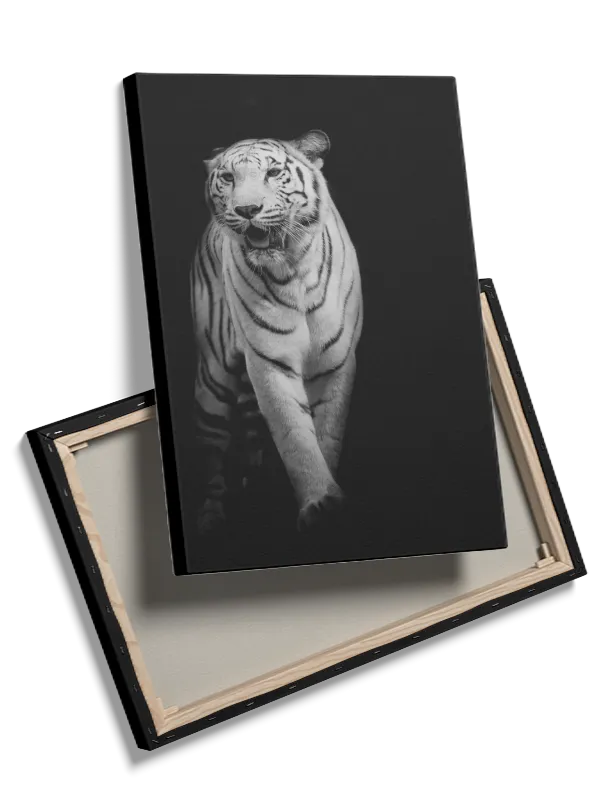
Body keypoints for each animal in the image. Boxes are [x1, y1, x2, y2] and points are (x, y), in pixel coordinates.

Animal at [191, 129, 363, 534]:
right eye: (228, 178)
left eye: (272, 173)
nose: (247, 210)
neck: (293, 269)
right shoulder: (270, 362)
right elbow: (294, 434)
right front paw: (318, 502)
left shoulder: (336, 361)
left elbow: (327, 430)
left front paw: (330, 504)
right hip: (213, 381)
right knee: (211, 452)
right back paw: (210, 519)